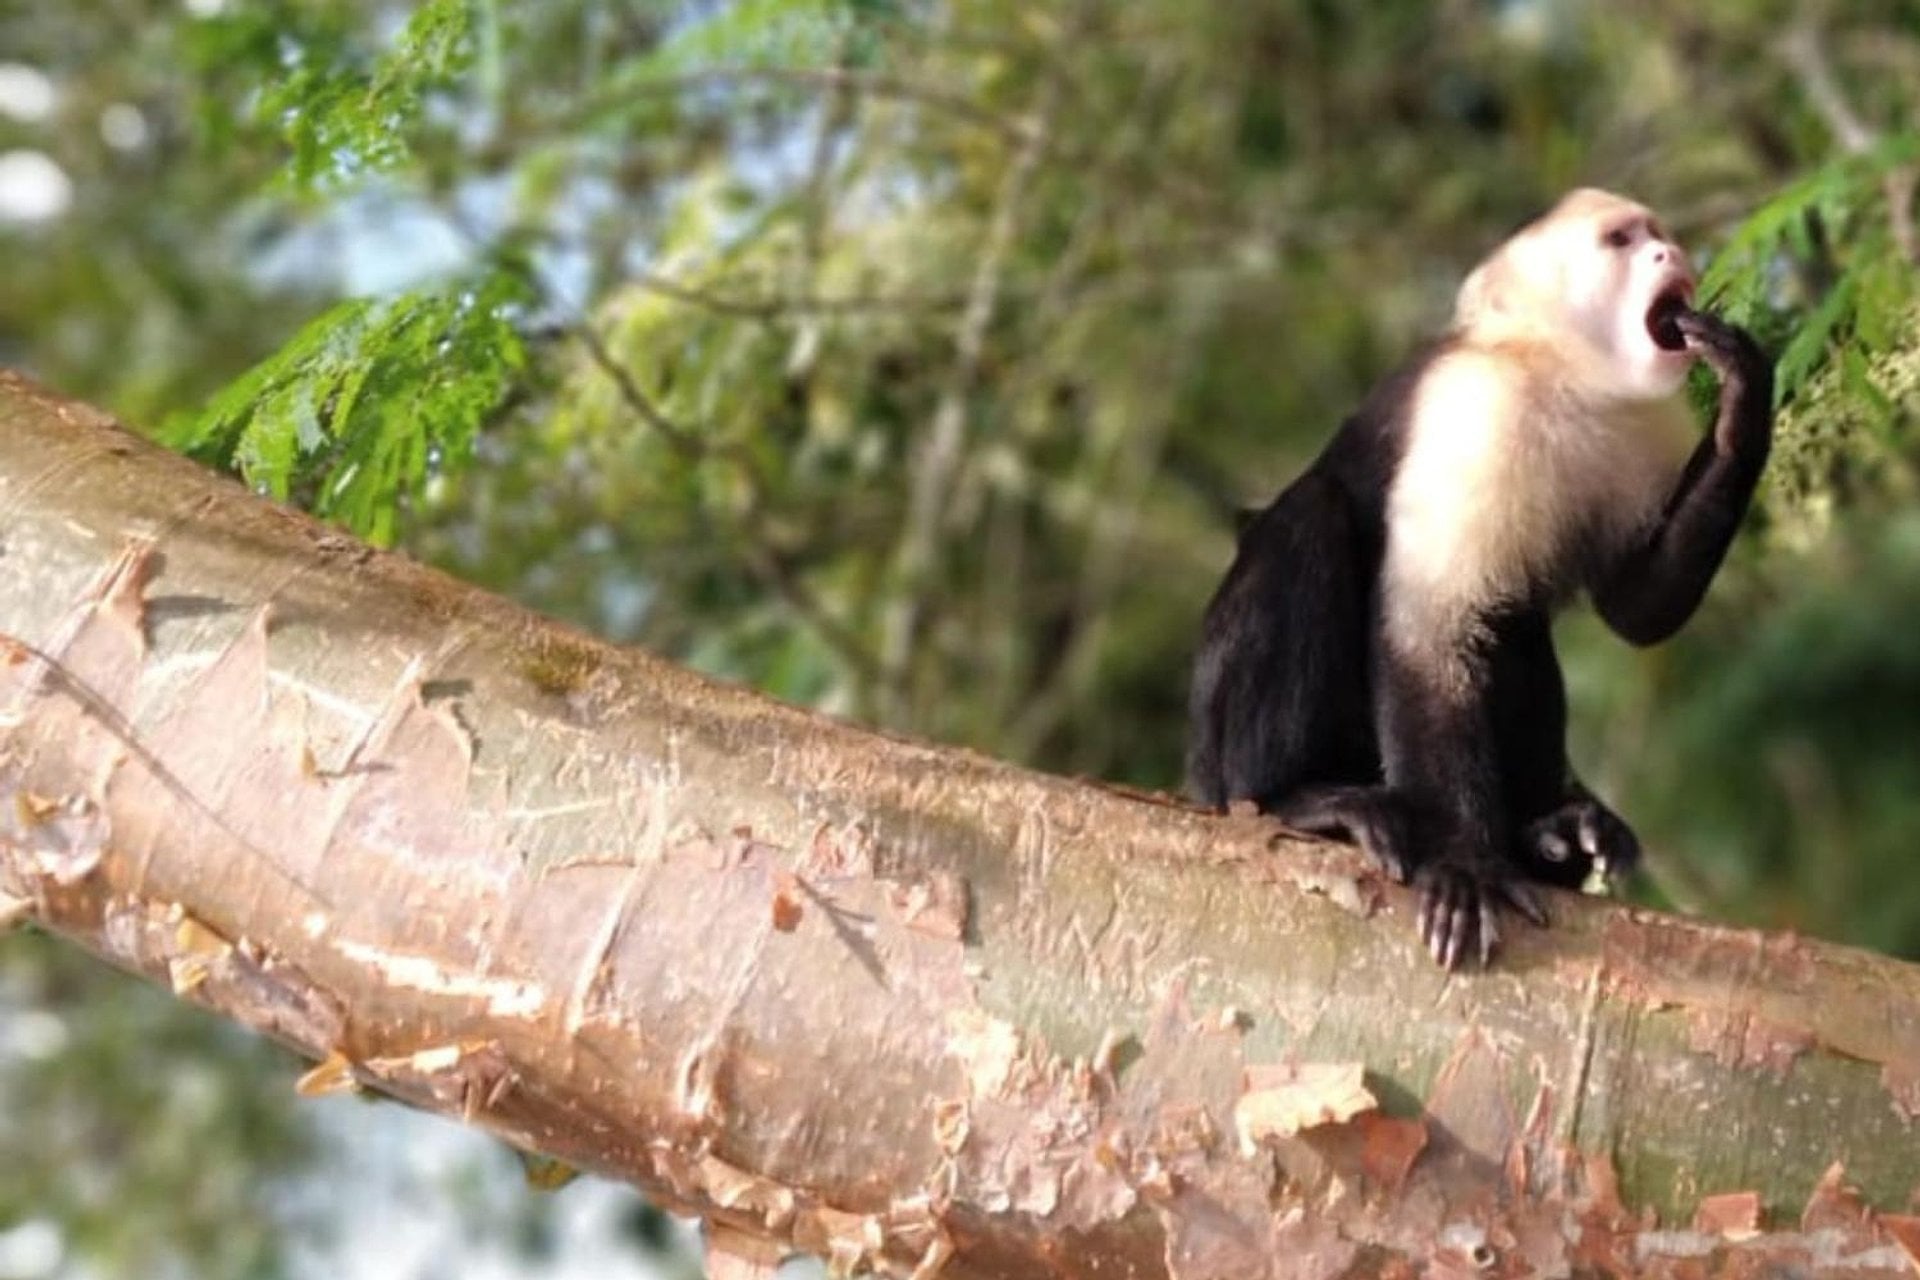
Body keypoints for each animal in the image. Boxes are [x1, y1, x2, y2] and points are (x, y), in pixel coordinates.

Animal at [1186, 189, 1773, 969]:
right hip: (1215, 742)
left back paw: (1551, 835)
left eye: (1657, 234)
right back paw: (1290, 800)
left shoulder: (1650, 426)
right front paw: (1466, 863)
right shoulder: (1474, 412)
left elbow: (1638, 611)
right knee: (1316, 518)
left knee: (1513, 619)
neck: (1559, 375)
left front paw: (1745, 408)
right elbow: (1426, 634)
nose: (1668, 254)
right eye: (1621, 241)